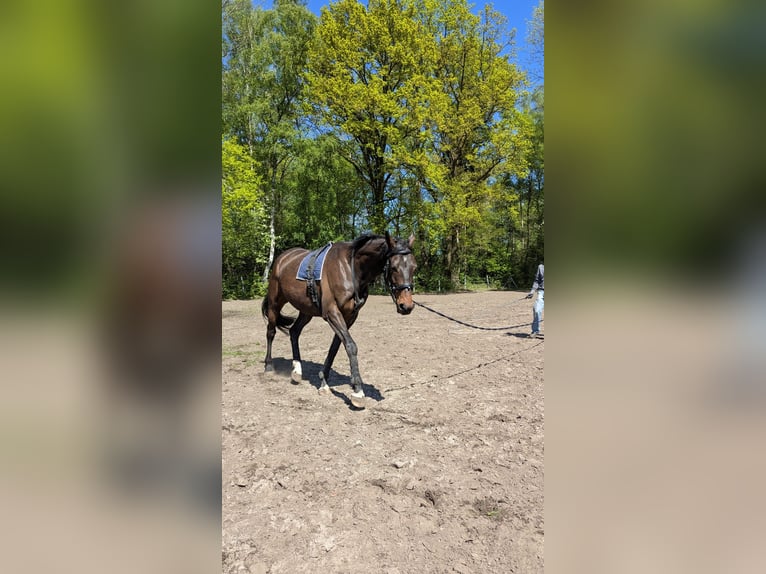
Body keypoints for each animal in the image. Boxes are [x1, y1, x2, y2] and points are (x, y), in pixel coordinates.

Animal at [261, 232, 417, 408]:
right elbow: (351, 346)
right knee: (271, 332)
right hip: (275, 303)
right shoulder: (332, 313)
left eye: (414, 267)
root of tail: (282, 258)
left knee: (294, 332)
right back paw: (269, 366)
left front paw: (324, 382)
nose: (406, 305)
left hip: (306, 310)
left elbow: (335, 348)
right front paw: (358, 391)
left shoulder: (349, 316)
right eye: (394, 267)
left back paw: (297, 371)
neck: (351, 269)